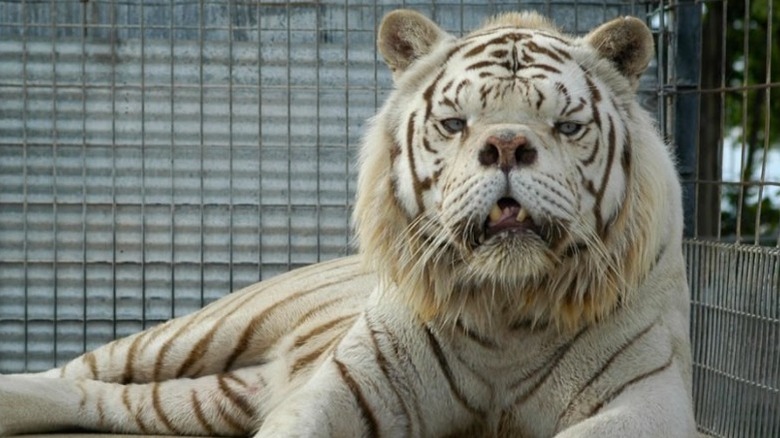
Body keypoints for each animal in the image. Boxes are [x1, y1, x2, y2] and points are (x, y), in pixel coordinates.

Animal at [0, 8, 696, 436]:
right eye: (455, 123)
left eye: (566, 126)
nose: (505, 144)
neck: (506, 311)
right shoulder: (345, 387)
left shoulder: (647, 400)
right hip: (206, 329)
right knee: (81, 370)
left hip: (216, 396)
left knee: (110, 401)